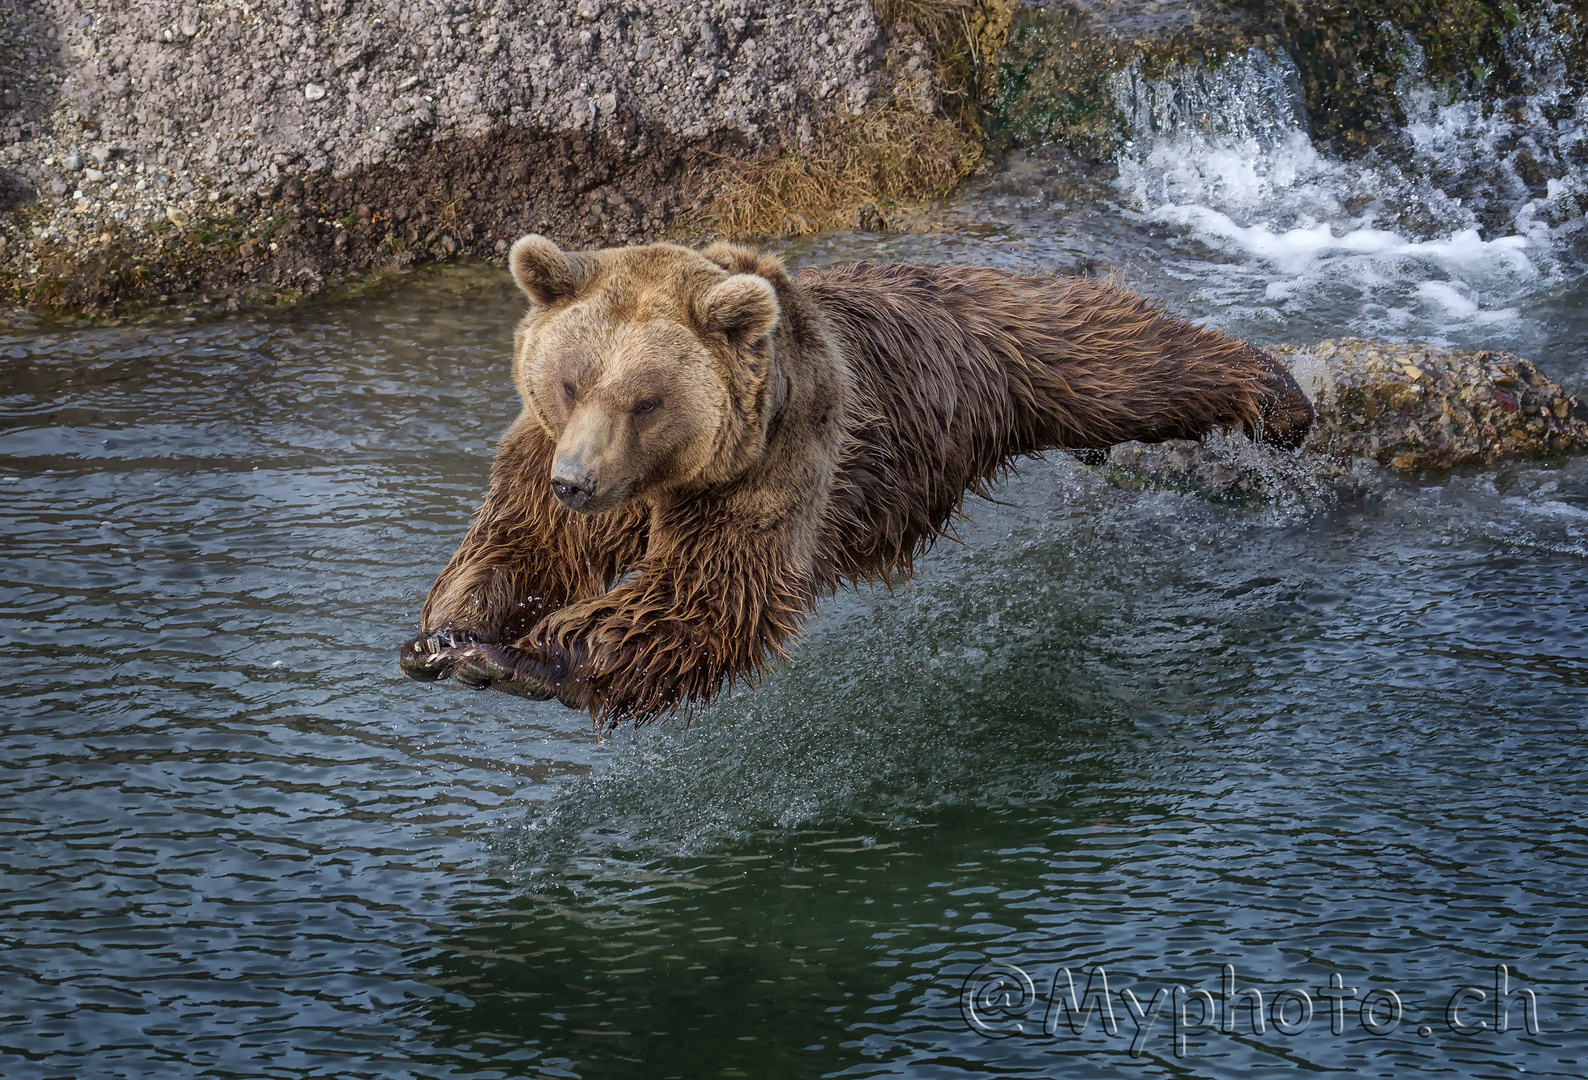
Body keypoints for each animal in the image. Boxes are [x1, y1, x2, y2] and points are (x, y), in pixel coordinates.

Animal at [400, 235, 1314, 724]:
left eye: (646, 400)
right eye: (569, 380)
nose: (579, 484)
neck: (665, 479)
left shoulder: (778, 460)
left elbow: (708, 596)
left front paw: (523, 658)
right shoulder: (550, 451)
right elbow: (527, 540)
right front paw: (447, 635)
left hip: (1028, 349)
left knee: (1128, 362)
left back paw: (1279, 399)